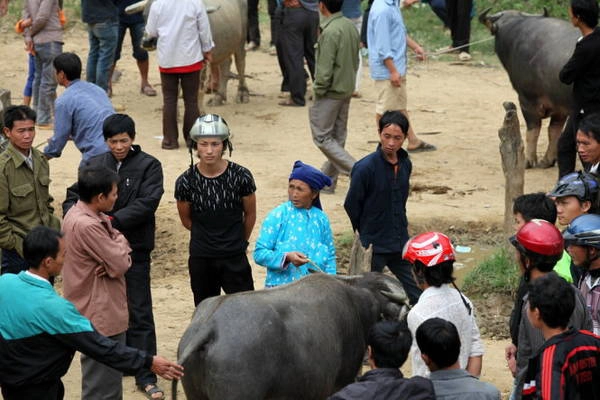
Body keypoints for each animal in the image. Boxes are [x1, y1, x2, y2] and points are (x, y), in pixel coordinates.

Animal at [478, 9, 580, 169]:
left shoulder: (527, 100)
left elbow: (533, 131)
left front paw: (528, 160)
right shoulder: (560, 106)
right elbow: (554, 132)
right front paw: (548, 160)